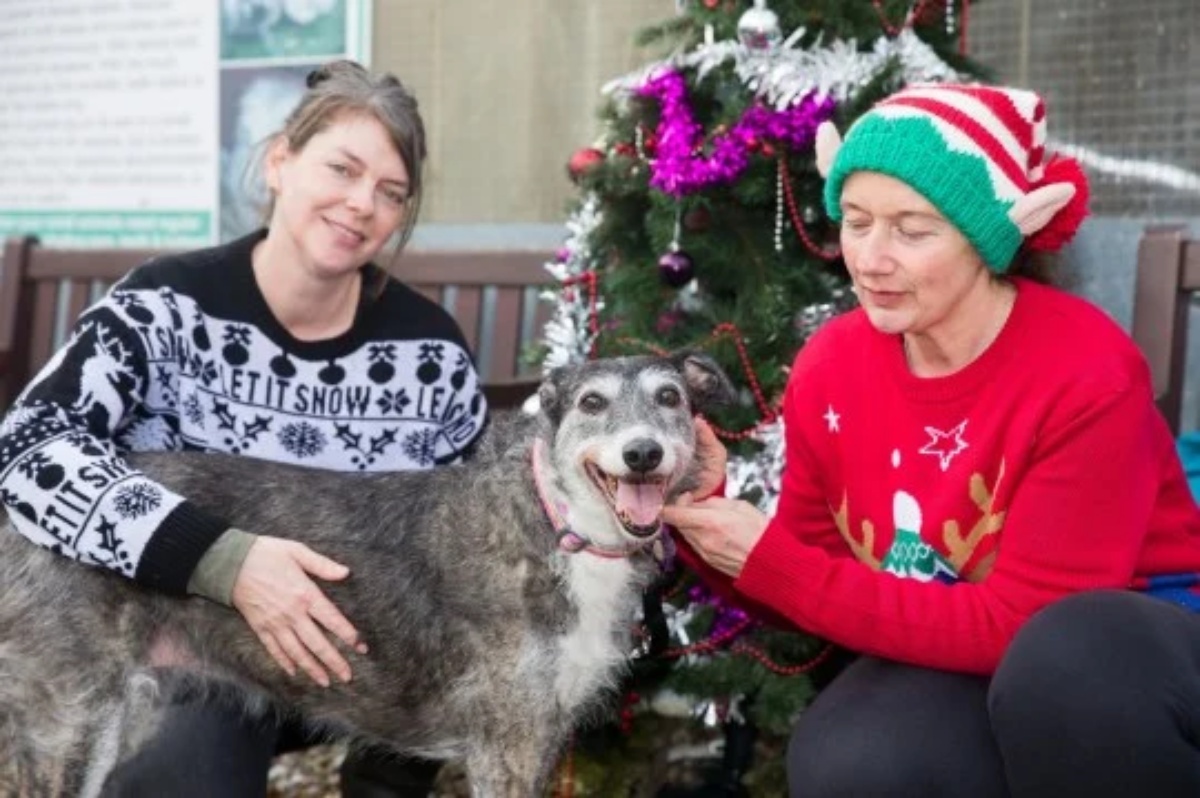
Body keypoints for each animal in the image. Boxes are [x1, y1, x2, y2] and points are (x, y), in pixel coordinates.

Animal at [0, 352, 729, 796]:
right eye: (592, 403)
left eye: (670, 397)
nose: (643, 454)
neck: (560, 523)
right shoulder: (507, 743)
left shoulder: (542, 734)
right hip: (72, 726)